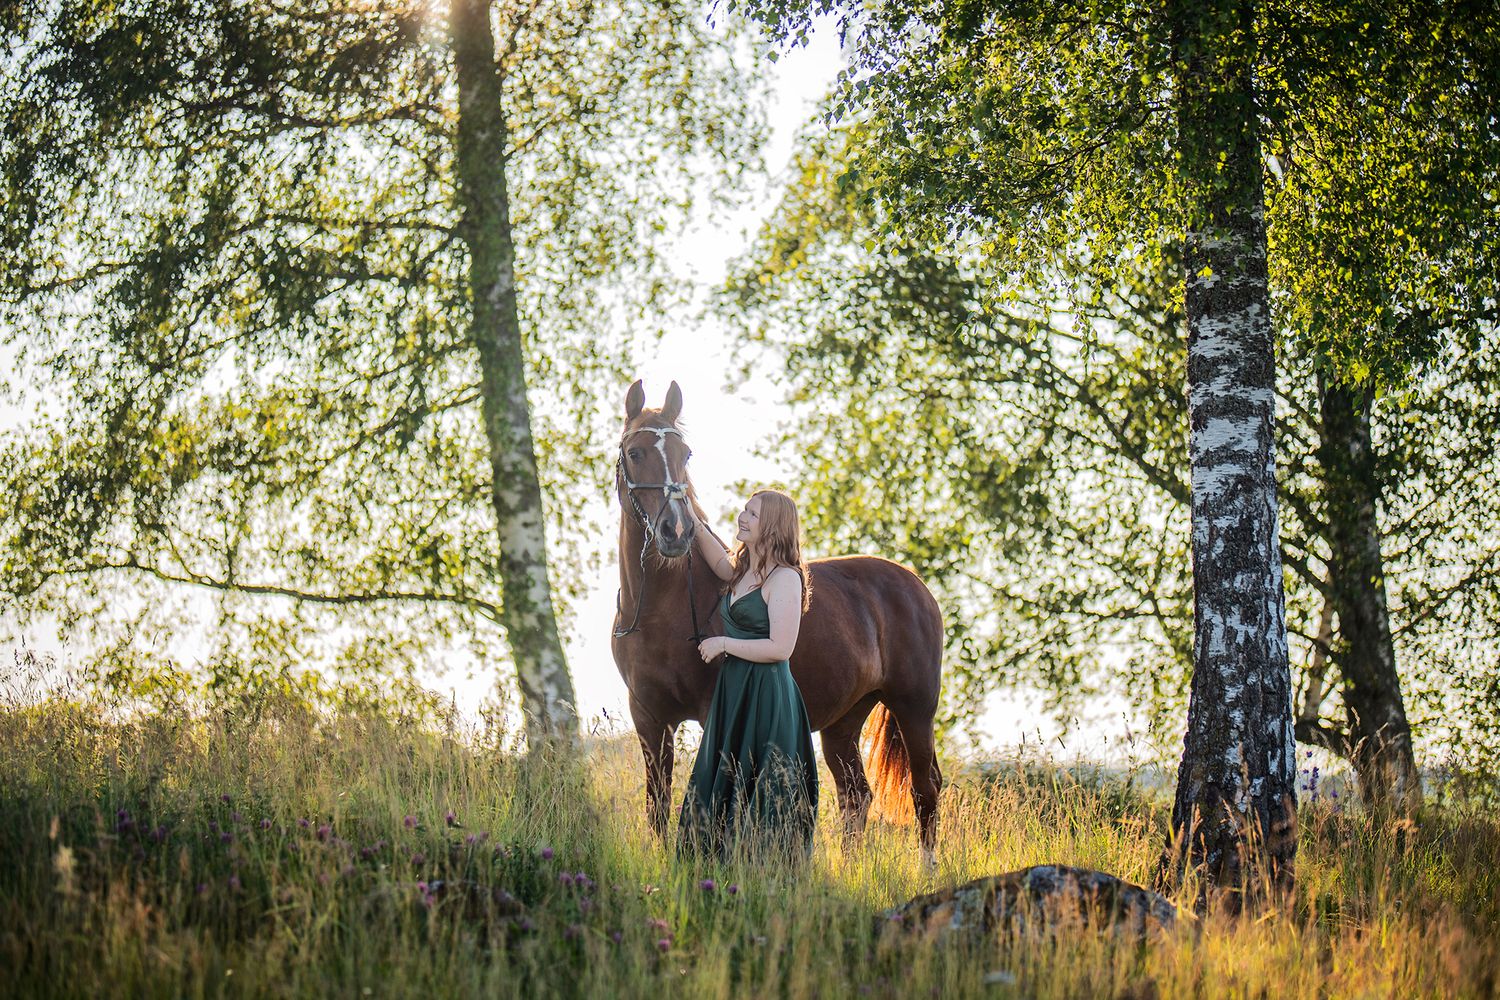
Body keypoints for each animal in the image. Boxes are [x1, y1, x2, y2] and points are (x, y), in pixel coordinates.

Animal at [609, 379, 945, 864]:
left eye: (685, 453)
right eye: (635, 452)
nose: (677, 531)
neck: (659, 610)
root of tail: (916, 585)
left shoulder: (712, 709)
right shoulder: (649, 718)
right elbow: (658, 804)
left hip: (914, 707)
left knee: (925, 789)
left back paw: (928, 869)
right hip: (845, 722)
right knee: (856, 794)